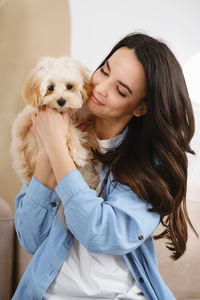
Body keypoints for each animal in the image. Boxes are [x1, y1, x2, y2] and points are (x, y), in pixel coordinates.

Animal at [10, 56, 99, 190]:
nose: (61, 101)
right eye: (50, 88)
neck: (66, 112)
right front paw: (78, 153)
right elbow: (69, 127)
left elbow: (91, 126)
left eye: (69, 86)